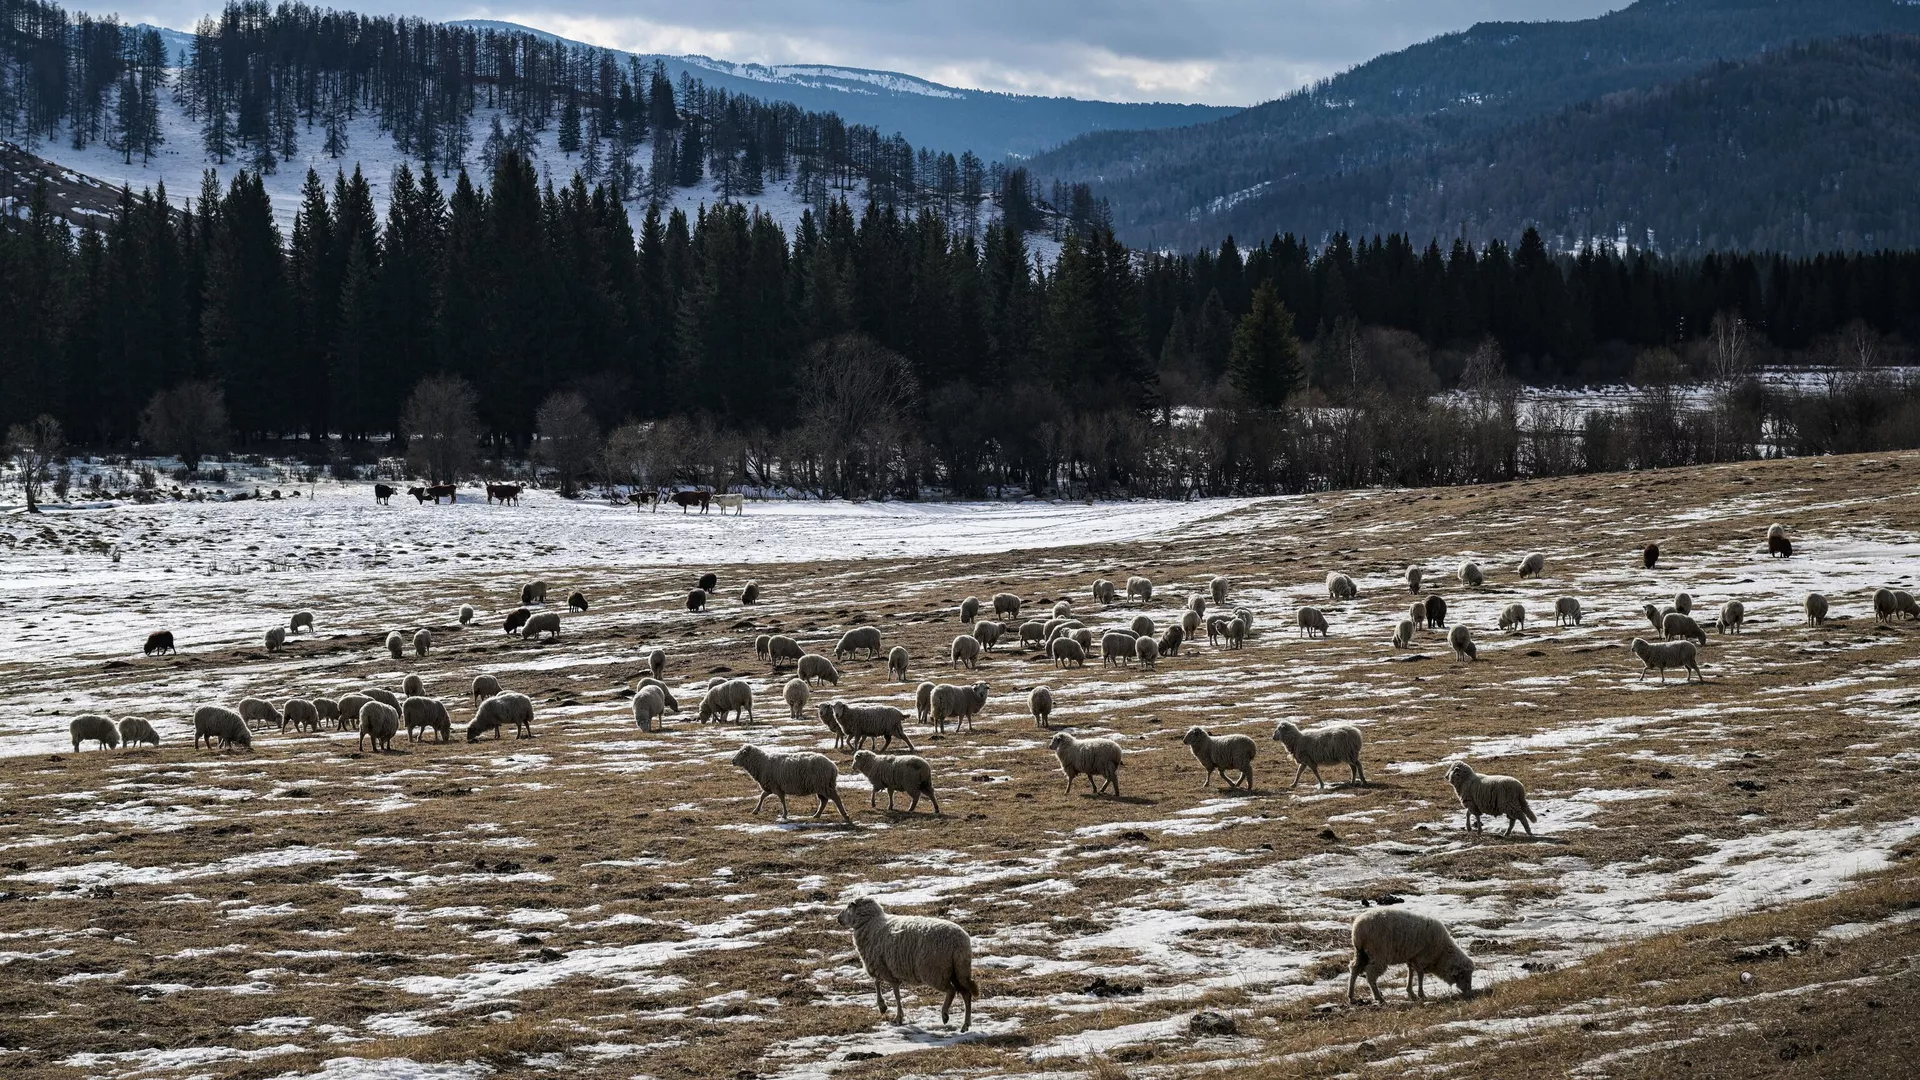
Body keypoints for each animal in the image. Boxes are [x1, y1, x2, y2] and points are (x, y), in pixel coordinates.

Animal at [837, 895, 975, 1030]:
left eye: (848, 906)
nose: (838, 918)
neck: (870, 923)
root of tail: (959, 943)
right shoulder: (884, 967)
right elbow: (881, 984)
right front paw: (886, 1008)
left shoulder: (881, 966)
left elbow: (888, 989)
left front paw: (891, 1012)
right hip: (959, 970)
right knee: (966, 994)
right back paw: (965, 1024)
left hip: (936, 972)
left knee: (951, 991)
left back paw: (945, 1014)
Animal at [1344, 903, 1474, 1006]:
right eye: (1463, 975)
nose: (1469, 992)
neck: (1441, 952)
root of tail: (1357, 930)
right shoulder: (1421, 957)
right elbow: (1420, 975)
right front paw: (1421, 994)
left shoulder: (1412, 957)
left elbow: (1411, 973)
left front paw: (1411, 992)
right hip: (1378, 953)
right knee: (1370, 975)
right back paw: (1380, 998)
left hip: (1361, 953)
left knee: (1354, 969)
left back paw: (1351, 997)